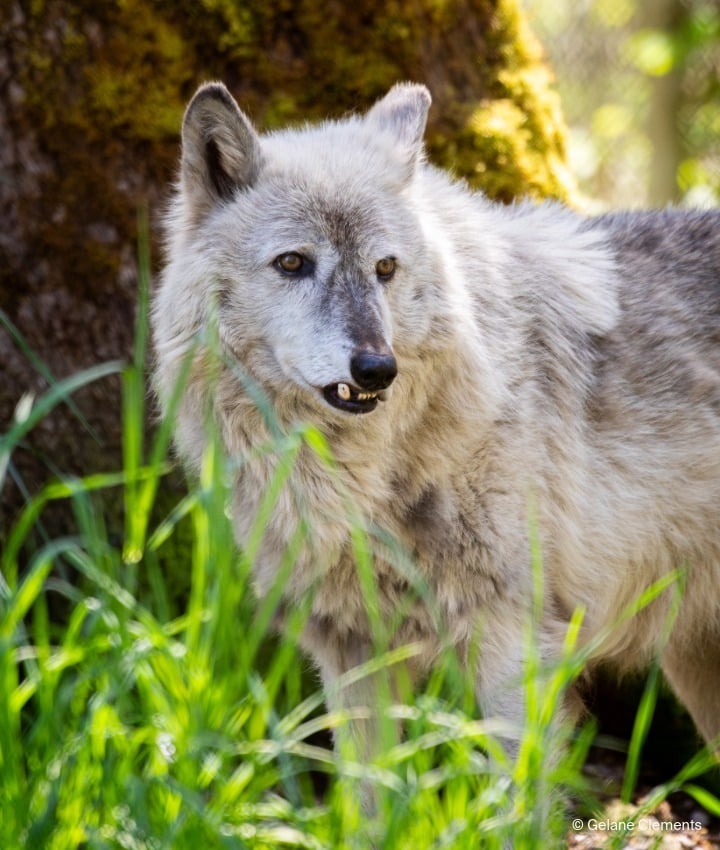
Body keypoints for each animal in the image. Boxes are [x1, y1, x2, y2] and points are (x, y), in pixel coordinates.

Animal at [153, 81, 720, 766]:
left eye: (385, 268)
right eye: (291, 263)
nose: (376, 369)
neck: (368, 475)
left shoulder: (512, 643)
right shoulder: (351, 652)